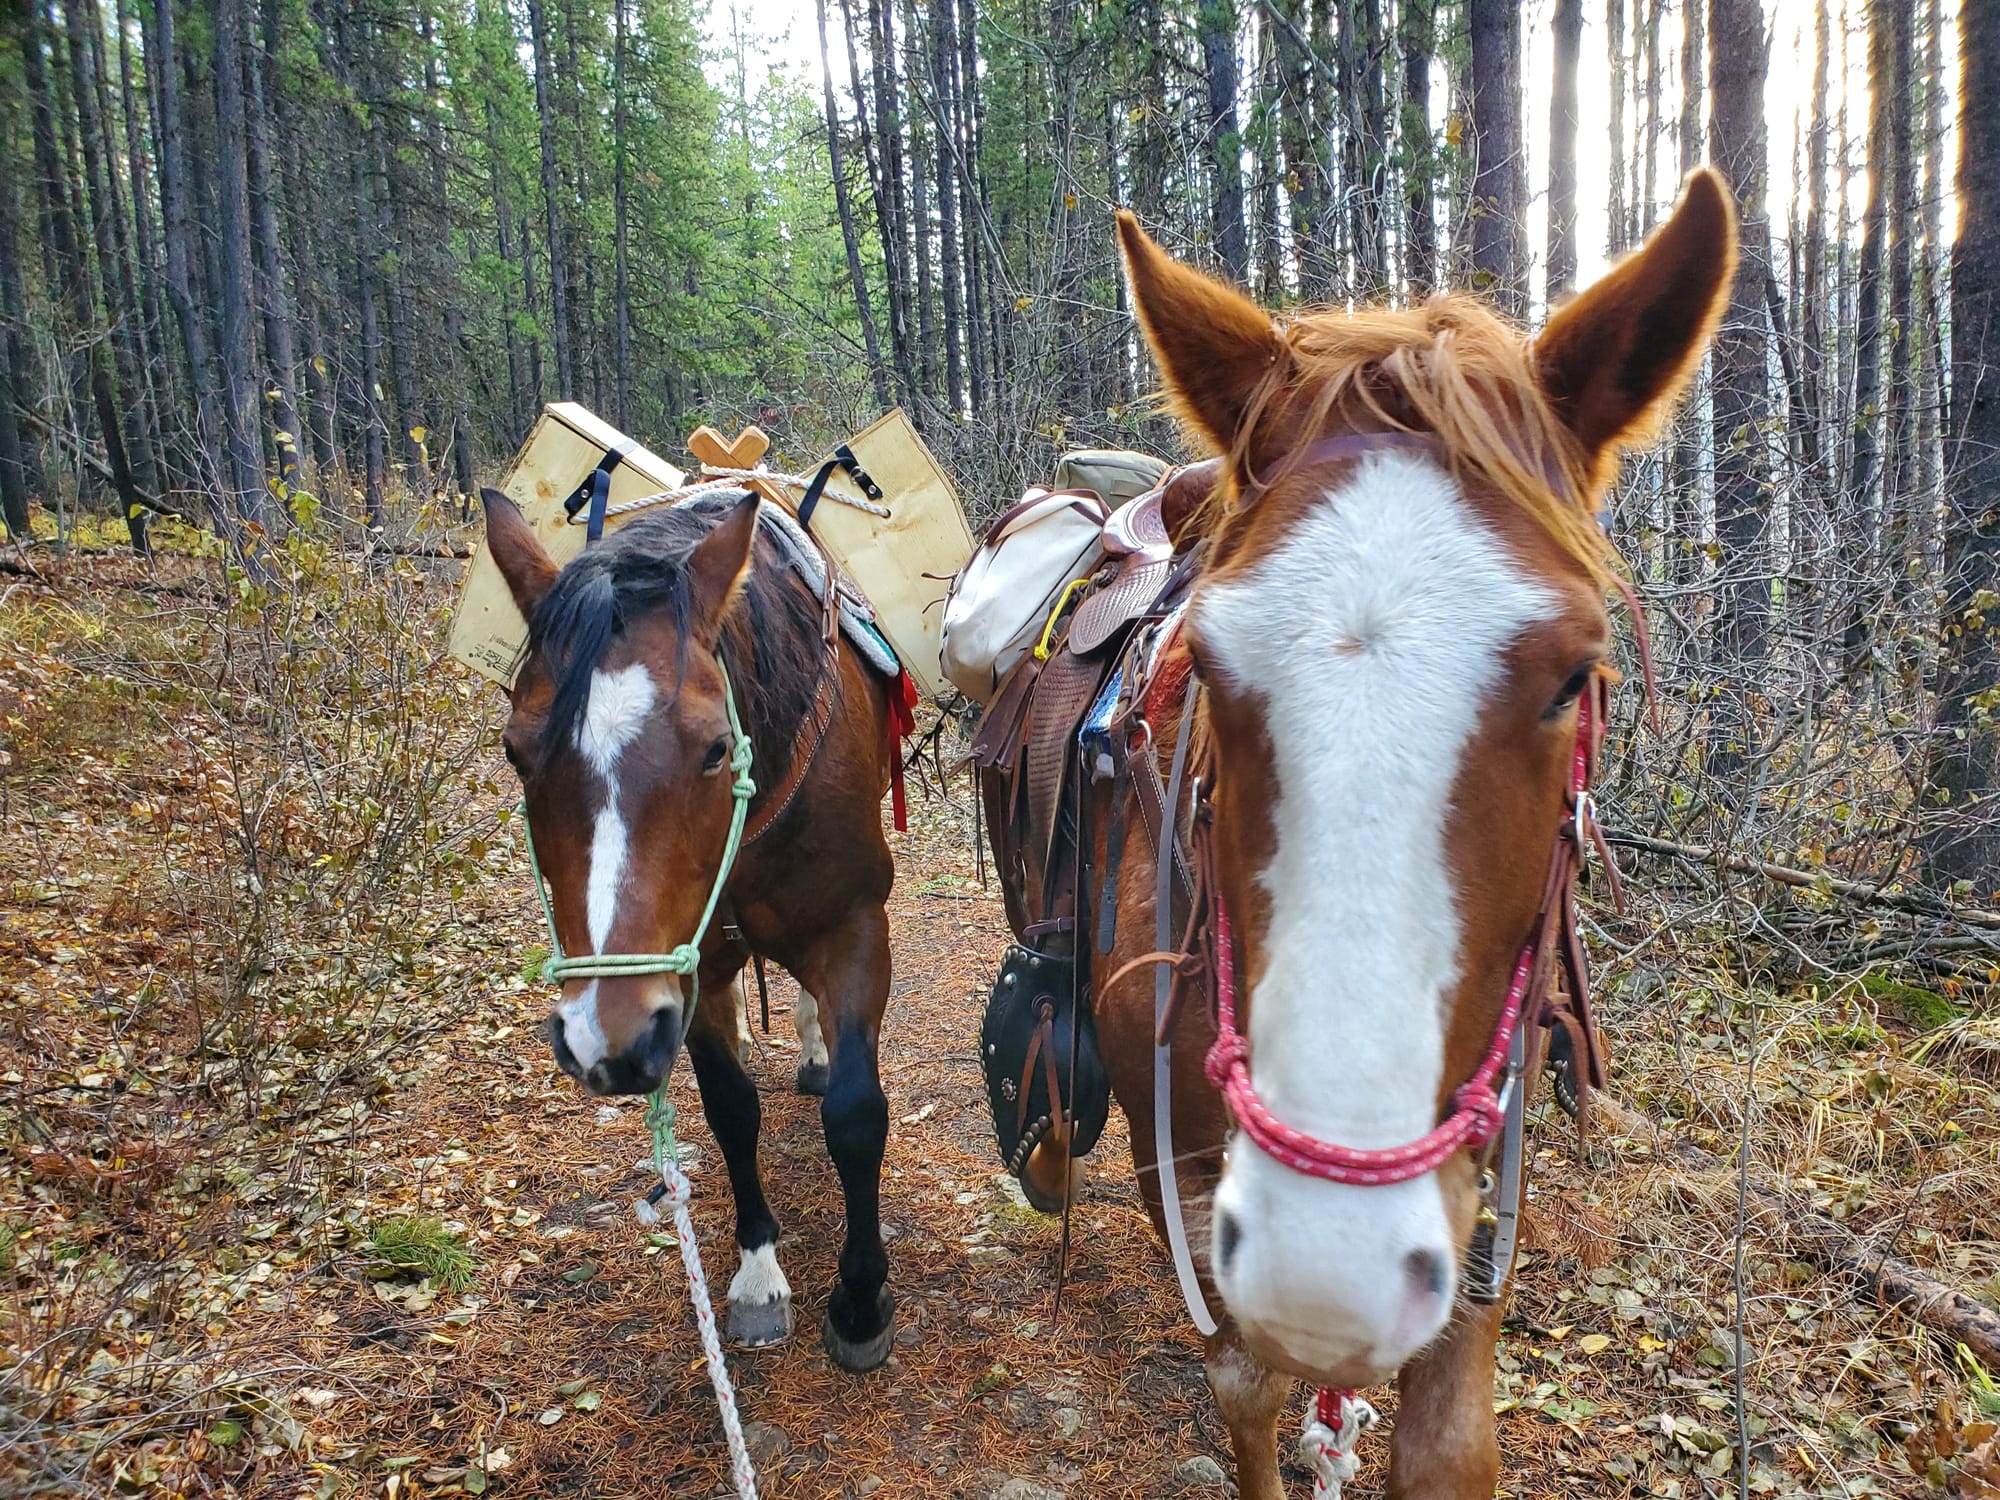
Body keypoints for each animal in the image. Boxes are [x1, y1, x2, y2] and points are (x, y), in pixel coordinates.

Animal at [480, 487, 901, 1371]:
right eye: (515, 752)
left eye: (714, 748)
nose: (604, 1039)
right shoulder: (692, 970)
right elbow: (731, 1109)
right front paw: (757, 1277)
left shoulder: (855, 931)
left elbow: (855, 1115)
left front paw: (858, 1300)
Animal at [999, 169, 1737, 1497]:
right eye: (1208, 666)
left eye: (1574, 677)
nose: (1324, 1270)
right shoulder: (1176, 1151)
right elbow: (1242, 1382)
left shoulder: (1477, 1148)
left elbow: (1444, 1438)